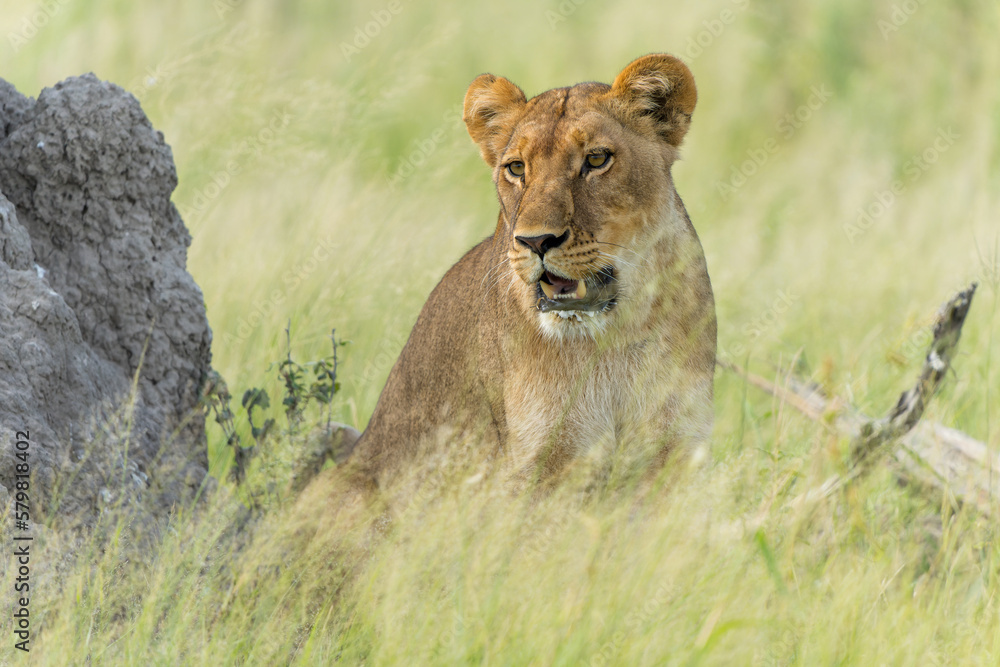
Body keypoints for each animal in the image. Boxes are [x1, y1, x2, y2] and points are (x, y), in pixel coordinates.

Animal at [335, 53, 716, 492]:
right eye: (516, 168)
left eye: (597, 159)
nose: (536, 241)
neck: (613, 339)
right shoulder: (538, 460)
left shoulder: (678, 450)